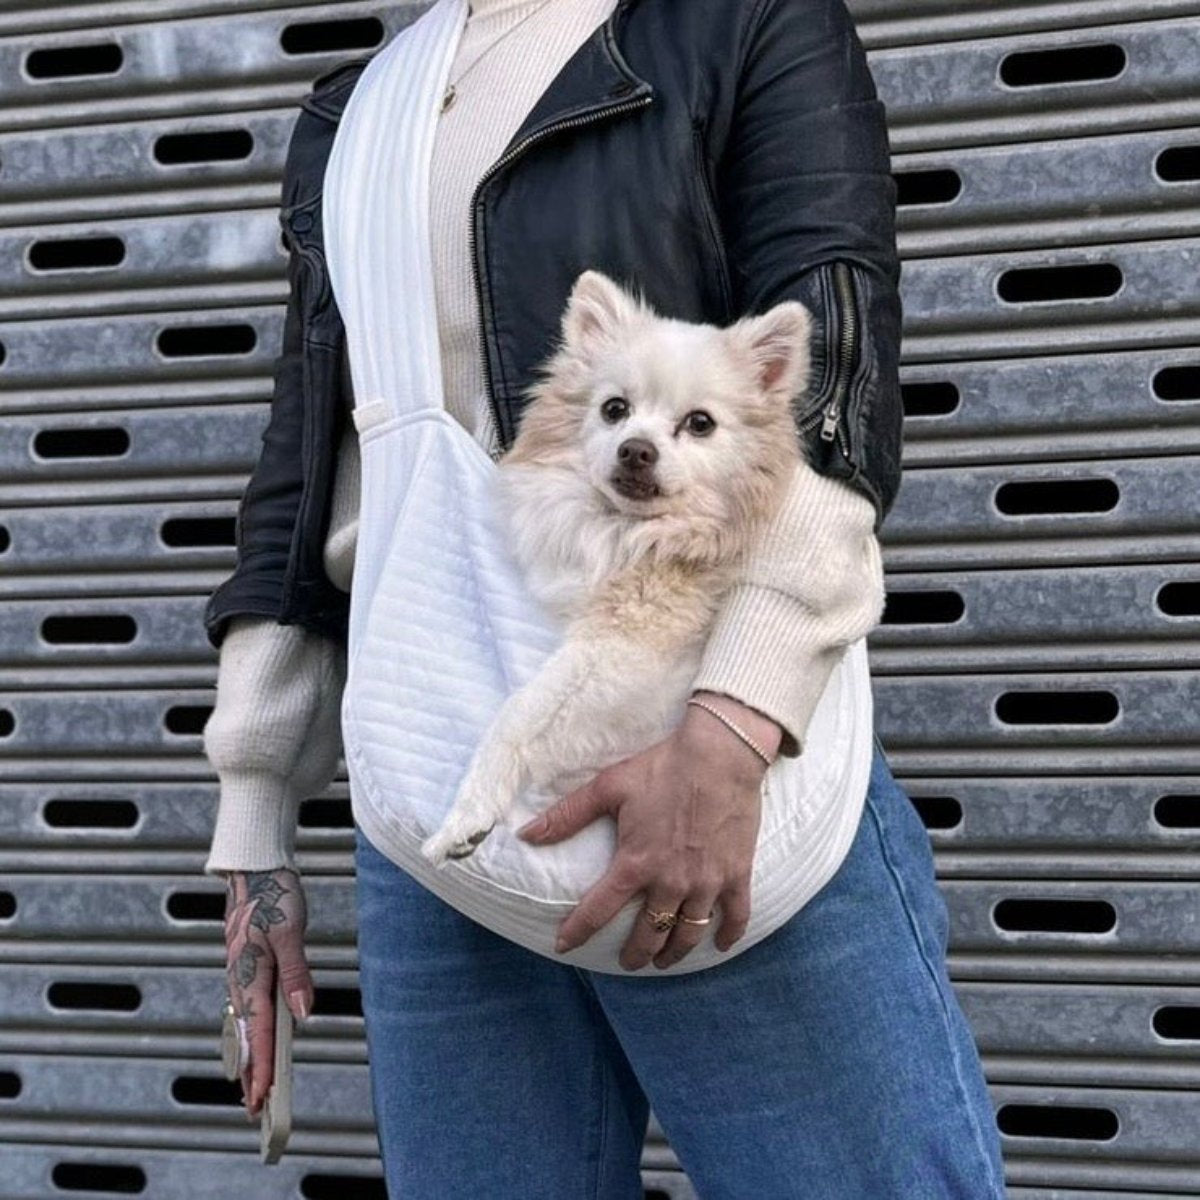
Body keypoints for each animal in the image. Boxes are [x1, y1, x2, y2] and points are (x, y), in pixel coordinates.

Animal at [420, 266, 806, 864]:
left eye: (700, 423)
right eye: (615, 410)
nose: (636, 449)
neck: (635, 532)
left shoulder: (623, 651)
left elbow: (519, 715)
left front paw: (467, 816)